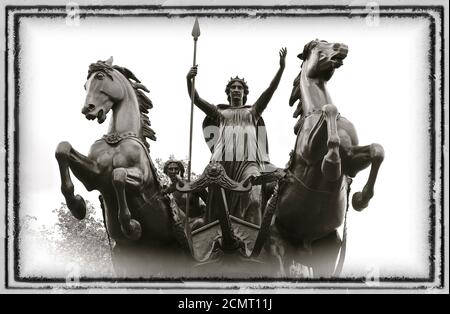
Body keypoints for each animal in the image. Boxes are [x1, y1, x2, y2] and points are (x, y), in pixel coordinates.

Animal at [55, 57, 188, 276]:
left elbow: (118, 176)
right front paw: (77, 206)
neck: (117, 138)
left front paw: (131, 226)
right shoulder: (94, 176)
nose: (88, 109)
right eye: (85, 85)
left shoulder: (141, 181)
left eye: (100, 77)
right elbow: (62, 149)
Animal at [266, 39, 384, 278]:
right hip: (276, 248)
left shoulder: (353, 159)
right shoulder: (309, 153)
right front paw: (331, 163)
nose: (342, 46)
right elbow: (330, 108)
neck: (314, 110)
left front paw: (361, 199)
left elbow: (377, 150)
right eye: (317, 46)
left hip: (328, 250)